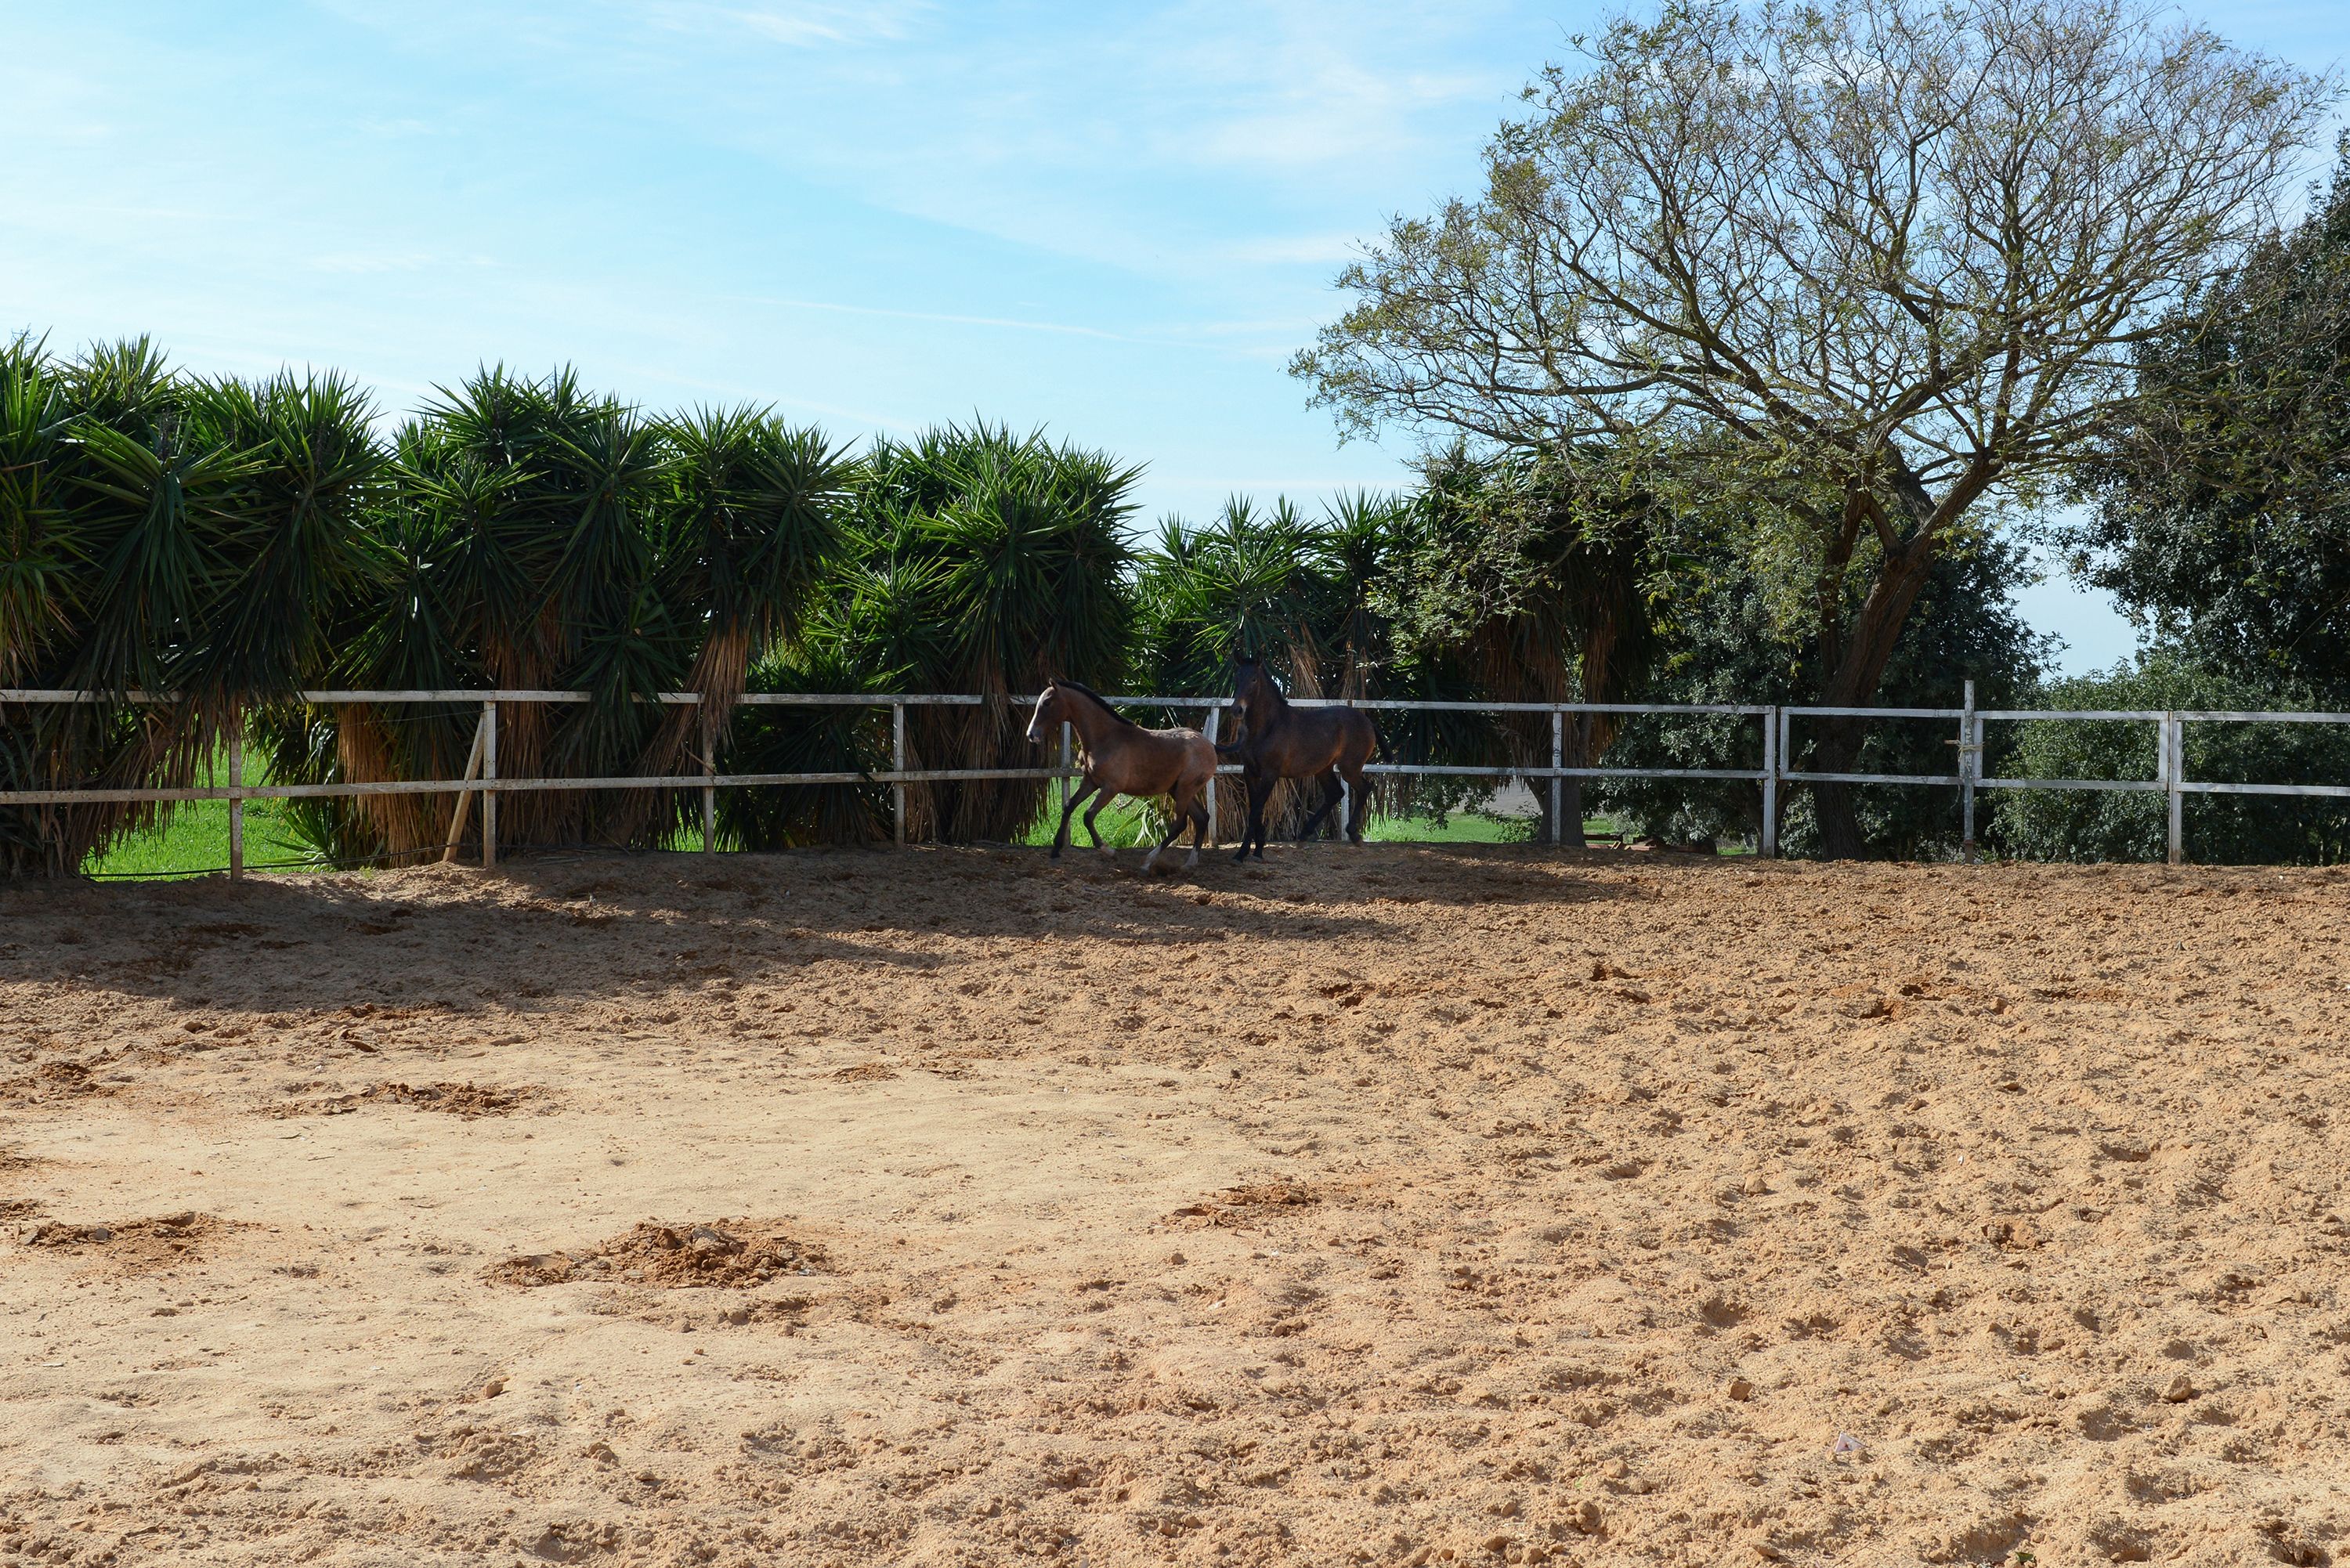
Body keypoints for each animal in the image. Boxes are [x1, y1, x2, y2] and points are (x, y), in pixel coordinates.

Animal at [1025, 681, 1213, 879]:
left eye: (1047, 703)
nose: (1031, 735)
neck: (1106, 737)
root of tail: (1210, 745)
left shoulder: (1111, 788)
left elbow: (1087, 816)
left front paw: (1109, 851)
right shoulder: (1090, 782)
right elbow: (1068, 807)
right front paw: (1055, 852)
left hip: (1185, 789)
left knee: (1180, 825)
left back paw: (1147, 864)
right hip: (1178, 790)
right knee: (1201, 818)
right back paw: (1189, 865)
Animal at [1222, 658, 1382, 865]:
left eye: (1254, 679)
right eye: (1237, 677)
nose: (1237, 710)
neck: (1268, 727)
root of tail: (1368, 722)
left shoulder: (1270, 774)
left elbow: (1256, 811)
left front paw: (1241, 854)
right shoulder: (1249, 772)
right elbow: (1254, 809)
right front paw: (1258, 850)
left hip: (1349, 768)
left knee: (1364, 789)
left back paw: (1353, 835)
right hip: (1324, 769)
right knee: (1335, 793)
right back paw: (1304, 835)